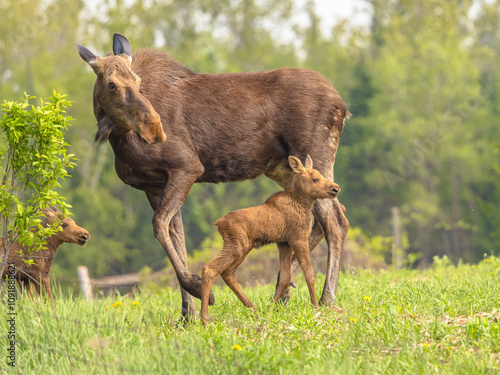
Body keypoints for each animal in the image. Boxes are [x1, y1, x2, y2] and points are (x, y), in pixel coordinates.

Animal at [201, 155, 342, 324]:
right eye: (315, 179)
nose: (335, 188)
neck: (304, 203)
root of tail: (218, 223)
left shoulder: (284, 243)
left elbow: (285, 277)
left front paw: (270, 309)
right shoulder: (298, 238)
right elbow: (309, 273)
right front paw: (316, 308)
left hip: (244, 248)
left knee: (228, 272)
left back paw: (253, 309)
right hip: (236, 246)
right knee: (209, 269)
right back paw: (204, 319)